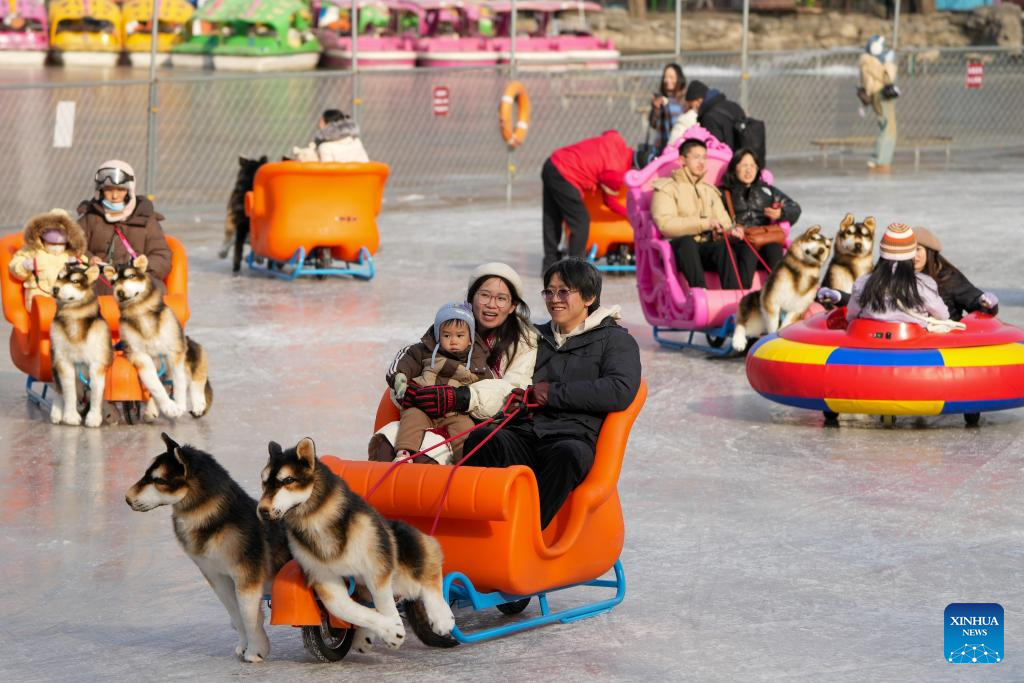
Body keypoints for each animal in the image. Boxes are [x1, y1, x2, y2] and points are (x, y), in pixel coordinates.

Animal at [48, 264, 111, 428]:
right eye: (59, 277)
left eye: (75, 281)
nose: (55, 289)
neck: (74, 316)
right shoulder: (63, 362)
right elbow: (69, 391)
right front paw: (70, 416)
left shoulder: (97, 363)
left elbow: (96, 391)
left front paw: (94, 417)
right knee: (59, 390)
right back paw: (57, 412)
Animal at [103, 253, 211, 419]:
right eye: (113, 281)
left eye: (131, 275)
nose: (119, 292)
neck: (140, 312)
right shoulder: (139, 355)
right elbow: (155, 385)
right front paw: (169, 407)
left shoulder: (175, 351)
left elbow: (179, 381)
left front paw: (179, 405)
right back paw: (152, 410)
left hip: (193, 353)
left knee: (196, 380)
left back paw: (199, 404)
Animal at [126, 436, 292, 663]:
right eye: (146, 474)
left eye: (158, 480)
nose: (127, 498)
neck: (218, 521)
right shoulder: (218, 577)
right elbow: (236, 615)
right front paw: (244, 646)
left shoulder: (246, 578)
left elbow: (248, 617)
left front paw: (256, 651)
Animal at [258, 438, 458, 655]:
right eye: (263, 481)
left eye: (288, 480)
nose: (262, 510)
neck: (317, 522)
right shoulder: (324, 579)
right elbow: (348, 610)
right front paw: (389, 630)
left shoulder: (377, 564)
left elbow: (383, 601)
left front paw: (393, 627)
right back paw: (364, 636)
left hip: (405, 546)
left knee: (429, 570)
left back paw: (441, 616)